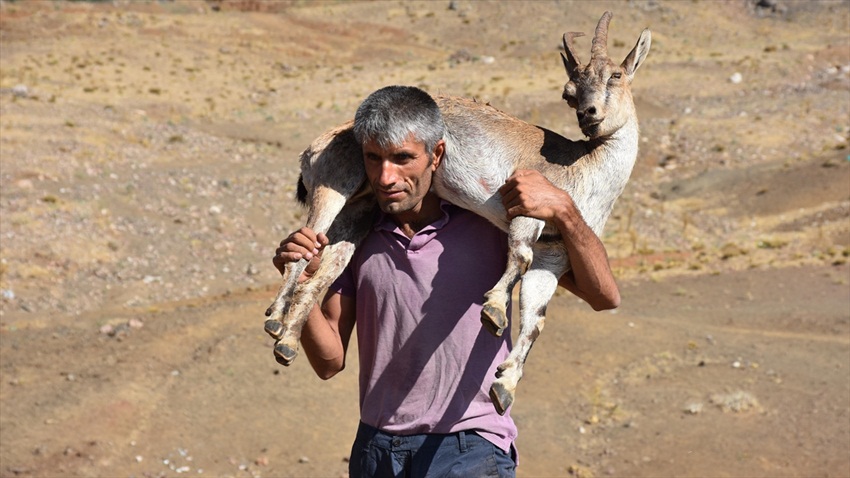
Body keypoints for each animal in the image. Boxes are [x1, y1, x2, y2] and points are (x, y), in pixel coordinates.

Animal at [264, 12, 648, 414]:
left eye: (615, 75)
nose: (590, 116)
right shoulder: (527, 211)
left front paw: (504, 386)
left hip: (359, 214)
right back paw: (275, 317)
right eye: (569, 93)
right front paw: (493, 311)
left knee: (323, 272)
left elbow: (535, 319)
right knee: (304, 249)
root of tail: (320, 143)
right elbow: (520, 257)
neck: (584, 172)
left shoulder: (555, 254)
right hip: (334, 186)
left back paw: (287, 343)